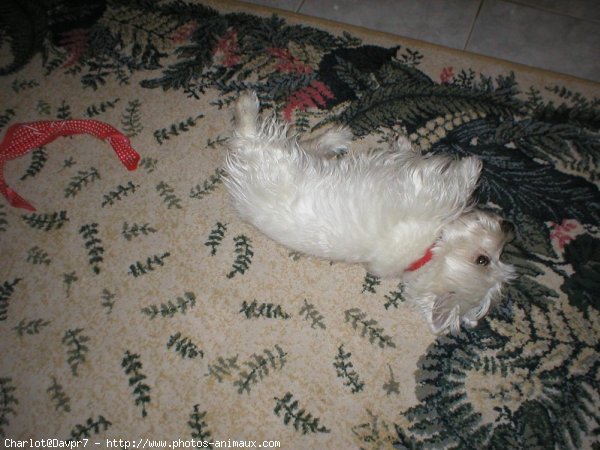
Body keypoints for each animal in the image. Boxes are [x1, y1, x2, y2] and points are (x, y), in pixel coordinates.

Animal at [225, 92, 516, 334]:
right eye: (483, 260)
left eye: (493, 258)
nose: (509, 226)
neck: (426, 253)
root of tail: (240, 189)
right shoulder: (422, 189)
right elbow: (454, 181)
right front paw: (471, 164)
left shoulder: (418, 187)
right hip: (274, 159)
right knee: (255, 135)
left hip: (275, 159)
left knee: (262, 138)